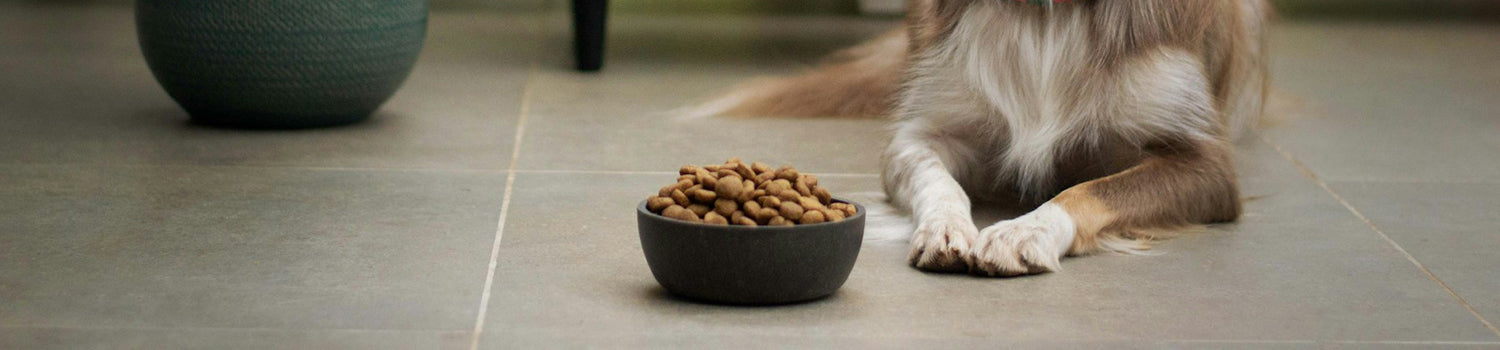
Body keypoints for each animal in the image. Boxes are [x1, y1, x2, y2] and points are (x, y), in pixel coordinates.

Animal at [690, 0, 1266, 276]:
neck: (1045, 15)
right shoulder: (925, 127)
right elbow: (938, 180)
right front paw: (944, 229)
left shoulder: (1207, 164)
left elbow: (1089, 190)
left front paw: (1026, 232)